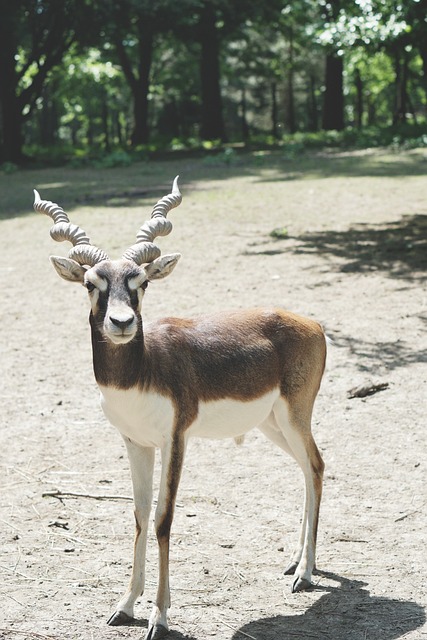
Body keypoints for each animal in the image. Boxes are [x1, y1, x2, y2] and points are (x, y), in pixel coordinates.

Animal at [36, 179, 328, 640]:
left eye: (141, 282)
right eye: (89, 283)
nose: (121, 323)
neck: (143, 370)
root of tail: (312, 324)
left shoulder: (175, 439)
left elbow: (163, 519)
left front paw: (159, 616)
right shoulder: (135, 442)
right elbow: (139, 515)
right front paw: (125, 606)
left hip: (294, 415)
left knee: (315, 465)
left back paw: (305, 574)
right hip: (271, 424)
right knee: (306, 469)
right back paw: (296, 563)